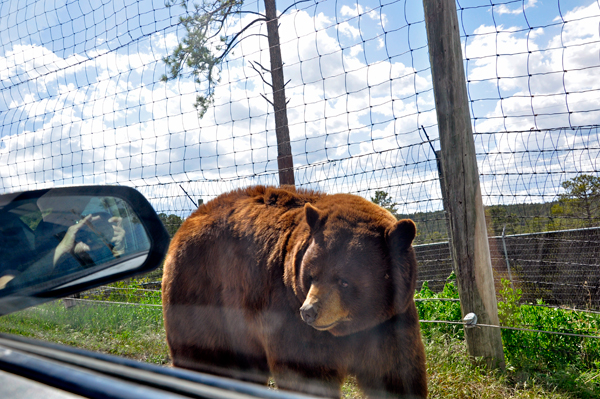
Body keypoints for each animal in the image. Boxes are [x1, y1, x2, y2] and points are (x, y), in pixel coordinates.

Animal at [162, 186, 428, 398]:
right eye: (311, 274)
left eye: (343, 281)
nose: (309, 312)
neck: (350, 328)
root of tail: (185, 225)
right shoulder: (288, 316)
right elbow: (306, 374)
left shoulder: (389, 321)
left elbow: (397, 375)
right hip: (202, 298)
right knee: (203, 358)